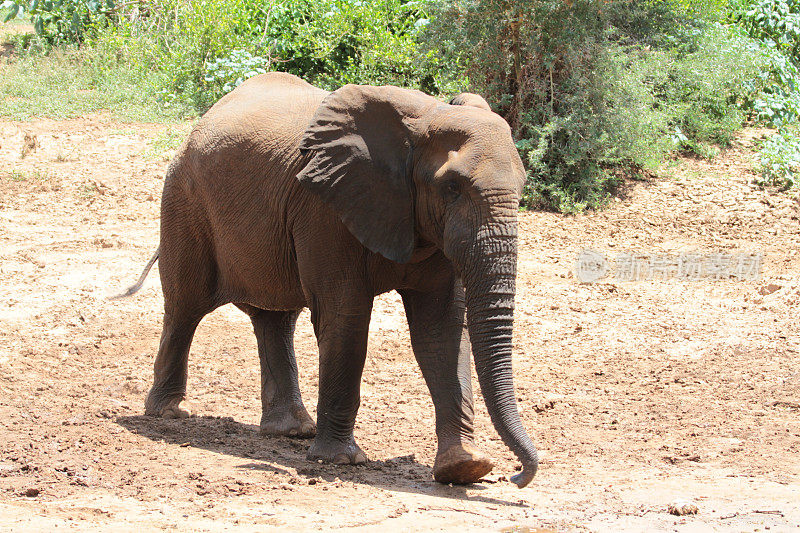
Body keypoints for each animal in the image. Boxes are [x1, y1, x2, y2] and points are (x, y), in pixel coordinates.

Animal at [123, 72, 536, 488]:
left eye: (522, 188)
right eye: (452, 187)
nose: (517, 476)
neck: (424, 119)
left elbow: (441, 328)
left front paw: (465, 468)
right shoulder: (324, 210)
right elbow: (345, 316)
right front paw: (341, 460)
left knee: (274, 318)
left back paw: (292, 431)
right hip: (183, 199)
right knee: (185, 306)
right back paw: (167, 413)